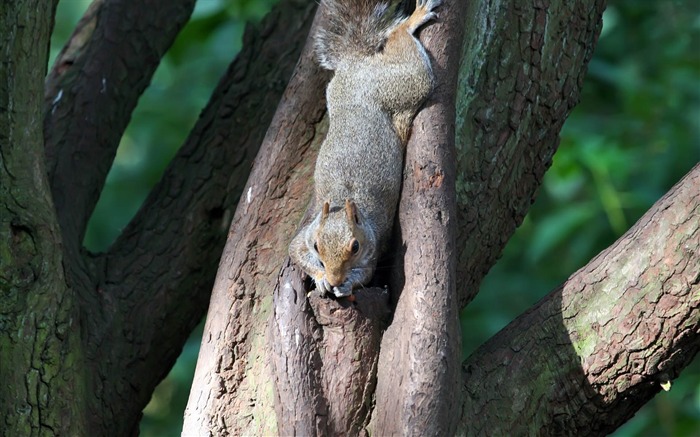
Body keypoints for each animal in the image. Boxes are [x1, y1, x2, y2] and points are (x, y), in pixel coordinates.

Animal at [288, 0, 440, 296]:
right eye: (317, 246)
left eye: (355, 247)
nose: (335, 279)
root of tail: (354, 61)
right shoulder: (304, 236)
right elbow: (295, 252)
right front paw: (321, 277)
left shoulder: (374, 245)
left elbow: (367, 274)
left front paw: (347, 285)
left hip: (405, 83)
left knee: (403, 47)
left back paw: (411, 21)